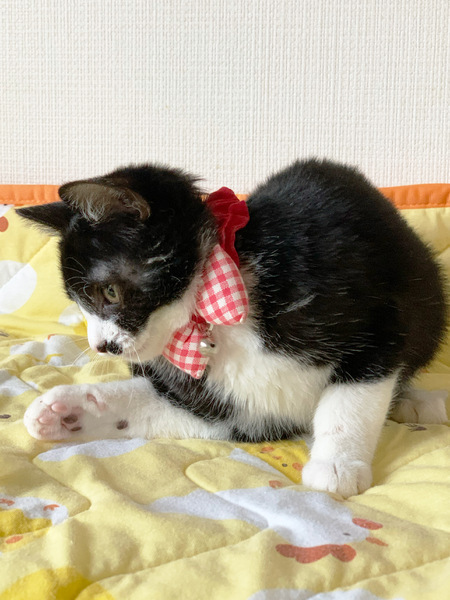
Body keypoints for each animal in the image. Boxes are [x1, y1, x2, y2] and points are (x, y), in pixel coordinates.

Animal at [18, 159, 448, 498]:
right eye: (78, 303)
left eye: (108, 292)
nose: (101, 346)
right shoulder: (227, 408)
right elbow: (168, 411)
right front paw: (67, 411)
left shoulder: (376, 317)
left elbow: (355, 392)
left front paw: (337, 464)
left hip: (427, 293)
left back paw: (417, 401)